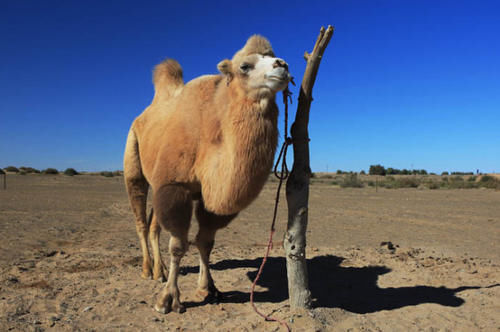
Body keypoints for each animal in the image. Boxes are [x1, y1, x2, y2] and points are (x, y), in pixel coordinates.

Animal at [122, 36, 292, 314]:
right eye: (245, 66)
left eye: (272, 56)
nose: (282, 65)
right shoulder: (175, 185)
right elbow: (179, 244)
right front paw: (168, 299)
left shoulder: (204, 195)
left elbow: (205, 241)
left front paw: (209, 288)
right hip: (133, 160)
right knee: (140, 220)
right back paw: (148, 271)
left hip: (157, 181)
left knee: (154, 225)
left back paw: (160, 271)